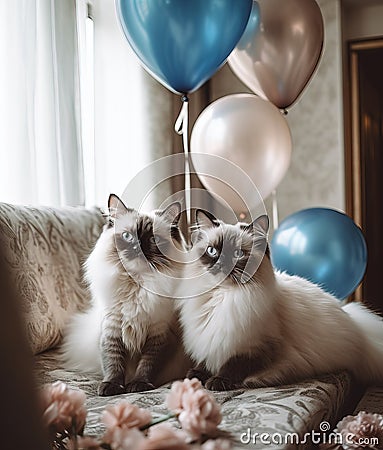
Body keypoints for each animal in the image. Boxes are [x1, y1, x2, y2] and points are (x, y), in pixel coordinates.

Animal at [61, 195, 190, 396]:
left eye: (152, 239)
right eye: (128, 236)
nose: (137, 247)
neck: (136, 285)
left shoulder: (158, 334)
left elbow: (147, 364)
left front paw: (138, 384)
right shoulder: (112, 329)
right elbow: (113, 362)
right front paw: (111, 386)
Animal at [178, 210, 383, 390]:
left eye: (238, 254)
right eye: (212, 251)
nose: (221, 264)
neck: (224, 296)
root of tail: (356, 322)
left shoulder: (257, 346)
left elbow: (234, 364)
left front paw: (217, 381)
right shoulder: (209, 338)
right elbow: (206, 359)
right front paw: (197, 374)